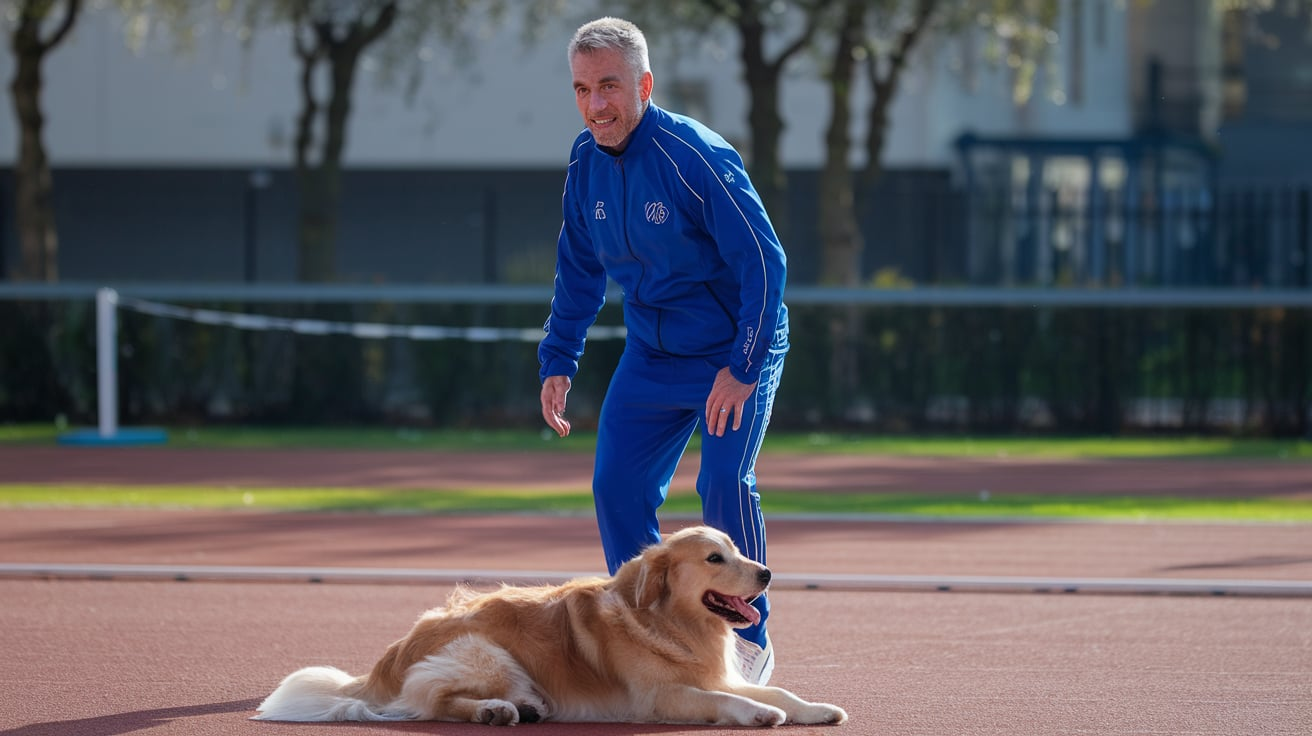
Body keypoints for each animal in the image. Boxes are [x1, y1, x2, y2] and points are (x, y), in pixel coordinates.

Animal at [255, 524, 850, 724]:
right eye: (714, 558)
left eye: (735, 548)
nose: (768, 572)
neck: (666, 622)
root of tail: (388, 658)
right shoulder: (661, 697)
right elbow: (729, 700)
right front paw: (760, 715)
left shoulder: (711, 674)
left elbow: (782, 692)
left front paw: (817, 709)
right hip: (486, 652)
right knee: (435, 704)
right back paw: (493, 712)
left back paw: (523, 708)